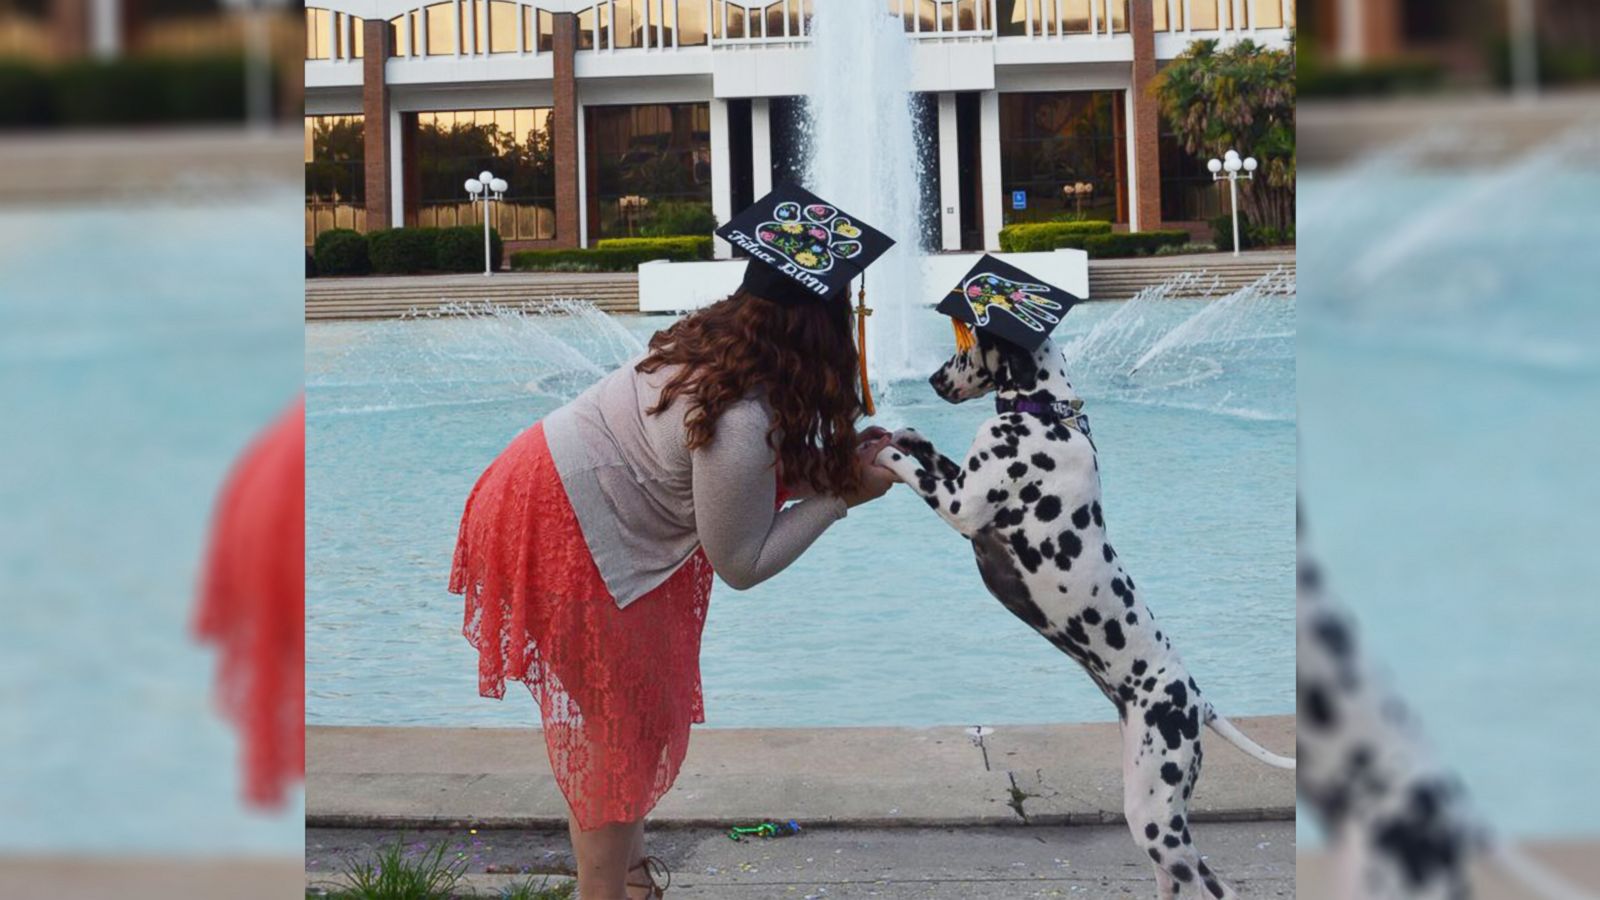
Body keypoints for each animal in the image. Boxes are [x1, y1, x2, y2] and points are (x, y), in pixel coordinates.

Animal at [876, 331, 1299, 896]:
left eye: (967, 345)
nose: (934, 379)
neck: (1049, 416)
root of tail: (1197, 702)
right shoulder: (964, 478)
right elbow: (932, 453)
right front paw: (908, 431)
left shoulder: (962, 504)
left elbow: (913, 470)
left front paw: (884, 448)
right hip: (1149, 810)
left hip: (1158, 822)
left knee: (1218, 887)